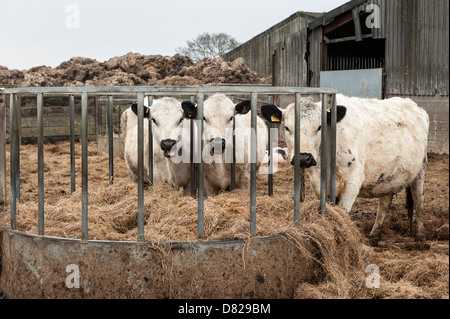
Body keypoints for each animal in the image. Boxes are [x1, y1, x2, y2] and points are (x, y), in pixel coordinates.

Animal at [262, 94, 430, 246]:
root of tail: (413, 104)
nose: (304, 157)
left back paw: (420, 236)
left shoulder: (353, 181)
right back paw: (374, 235)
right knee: (385, 201)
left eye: (319, 127)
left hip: (421, 168)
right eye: (287, 127)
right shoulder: (318, 183)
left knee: (419, 199)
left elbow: (342, 211)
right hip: (388, 174)